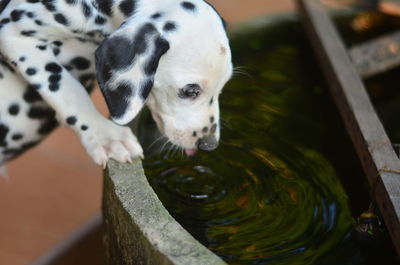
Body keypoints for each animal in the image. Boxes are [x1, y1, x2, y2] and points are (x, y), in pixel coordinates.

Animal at [0, 0, 233, 167]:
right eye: (190, 91)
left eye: (223, 87)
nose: (209, 145)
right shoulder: (13, 33)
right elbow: (63, 86)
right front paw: (106, 136)